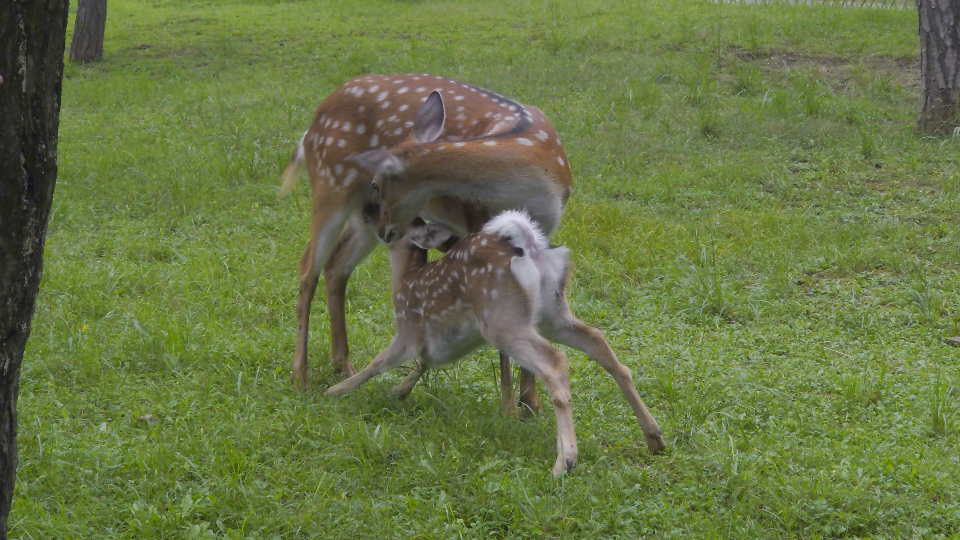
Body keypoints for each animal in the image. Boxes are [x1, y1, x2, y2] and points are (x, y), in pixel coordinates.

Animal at [282, 73, 572, 414]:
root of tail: (311, 128)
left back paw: (344, 367)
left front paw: (532, 404)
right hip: (332, 185)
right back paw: (301, 378)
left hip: (360, 220)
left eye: (377, 184)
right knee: (307, 269)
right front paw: (510, 409)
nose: (380, 218)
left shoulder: (543, 231)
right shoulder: (477, 223)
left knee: (336, 266)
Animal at [326, 213, 664, 474]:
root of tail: (530, 246)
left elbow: (377, 363)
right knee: (599, 341)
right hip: (551, 314)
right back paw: (654, 437)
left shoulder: (408, 331)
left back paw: (565, 461)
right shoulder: (444, 342)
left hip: (503, 319)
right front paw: (398, 391)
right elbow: (424, 362)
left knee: (555, 360)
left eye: (390, 223)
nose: (368, 218)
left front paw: (336, 391)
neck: (404, 282)